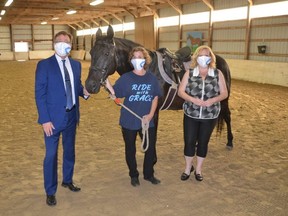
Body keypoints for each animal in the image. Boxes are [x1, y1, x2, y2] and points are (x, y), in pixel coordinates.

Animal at [85, 25, 234, 148]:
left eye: (106, 53)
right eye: (91, 53)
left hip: (223, 100)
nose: (90, 85)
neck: (148, 69)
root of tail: (220, 60)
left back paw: (230, 141)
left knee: (227, 116)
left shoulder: (154, 111)